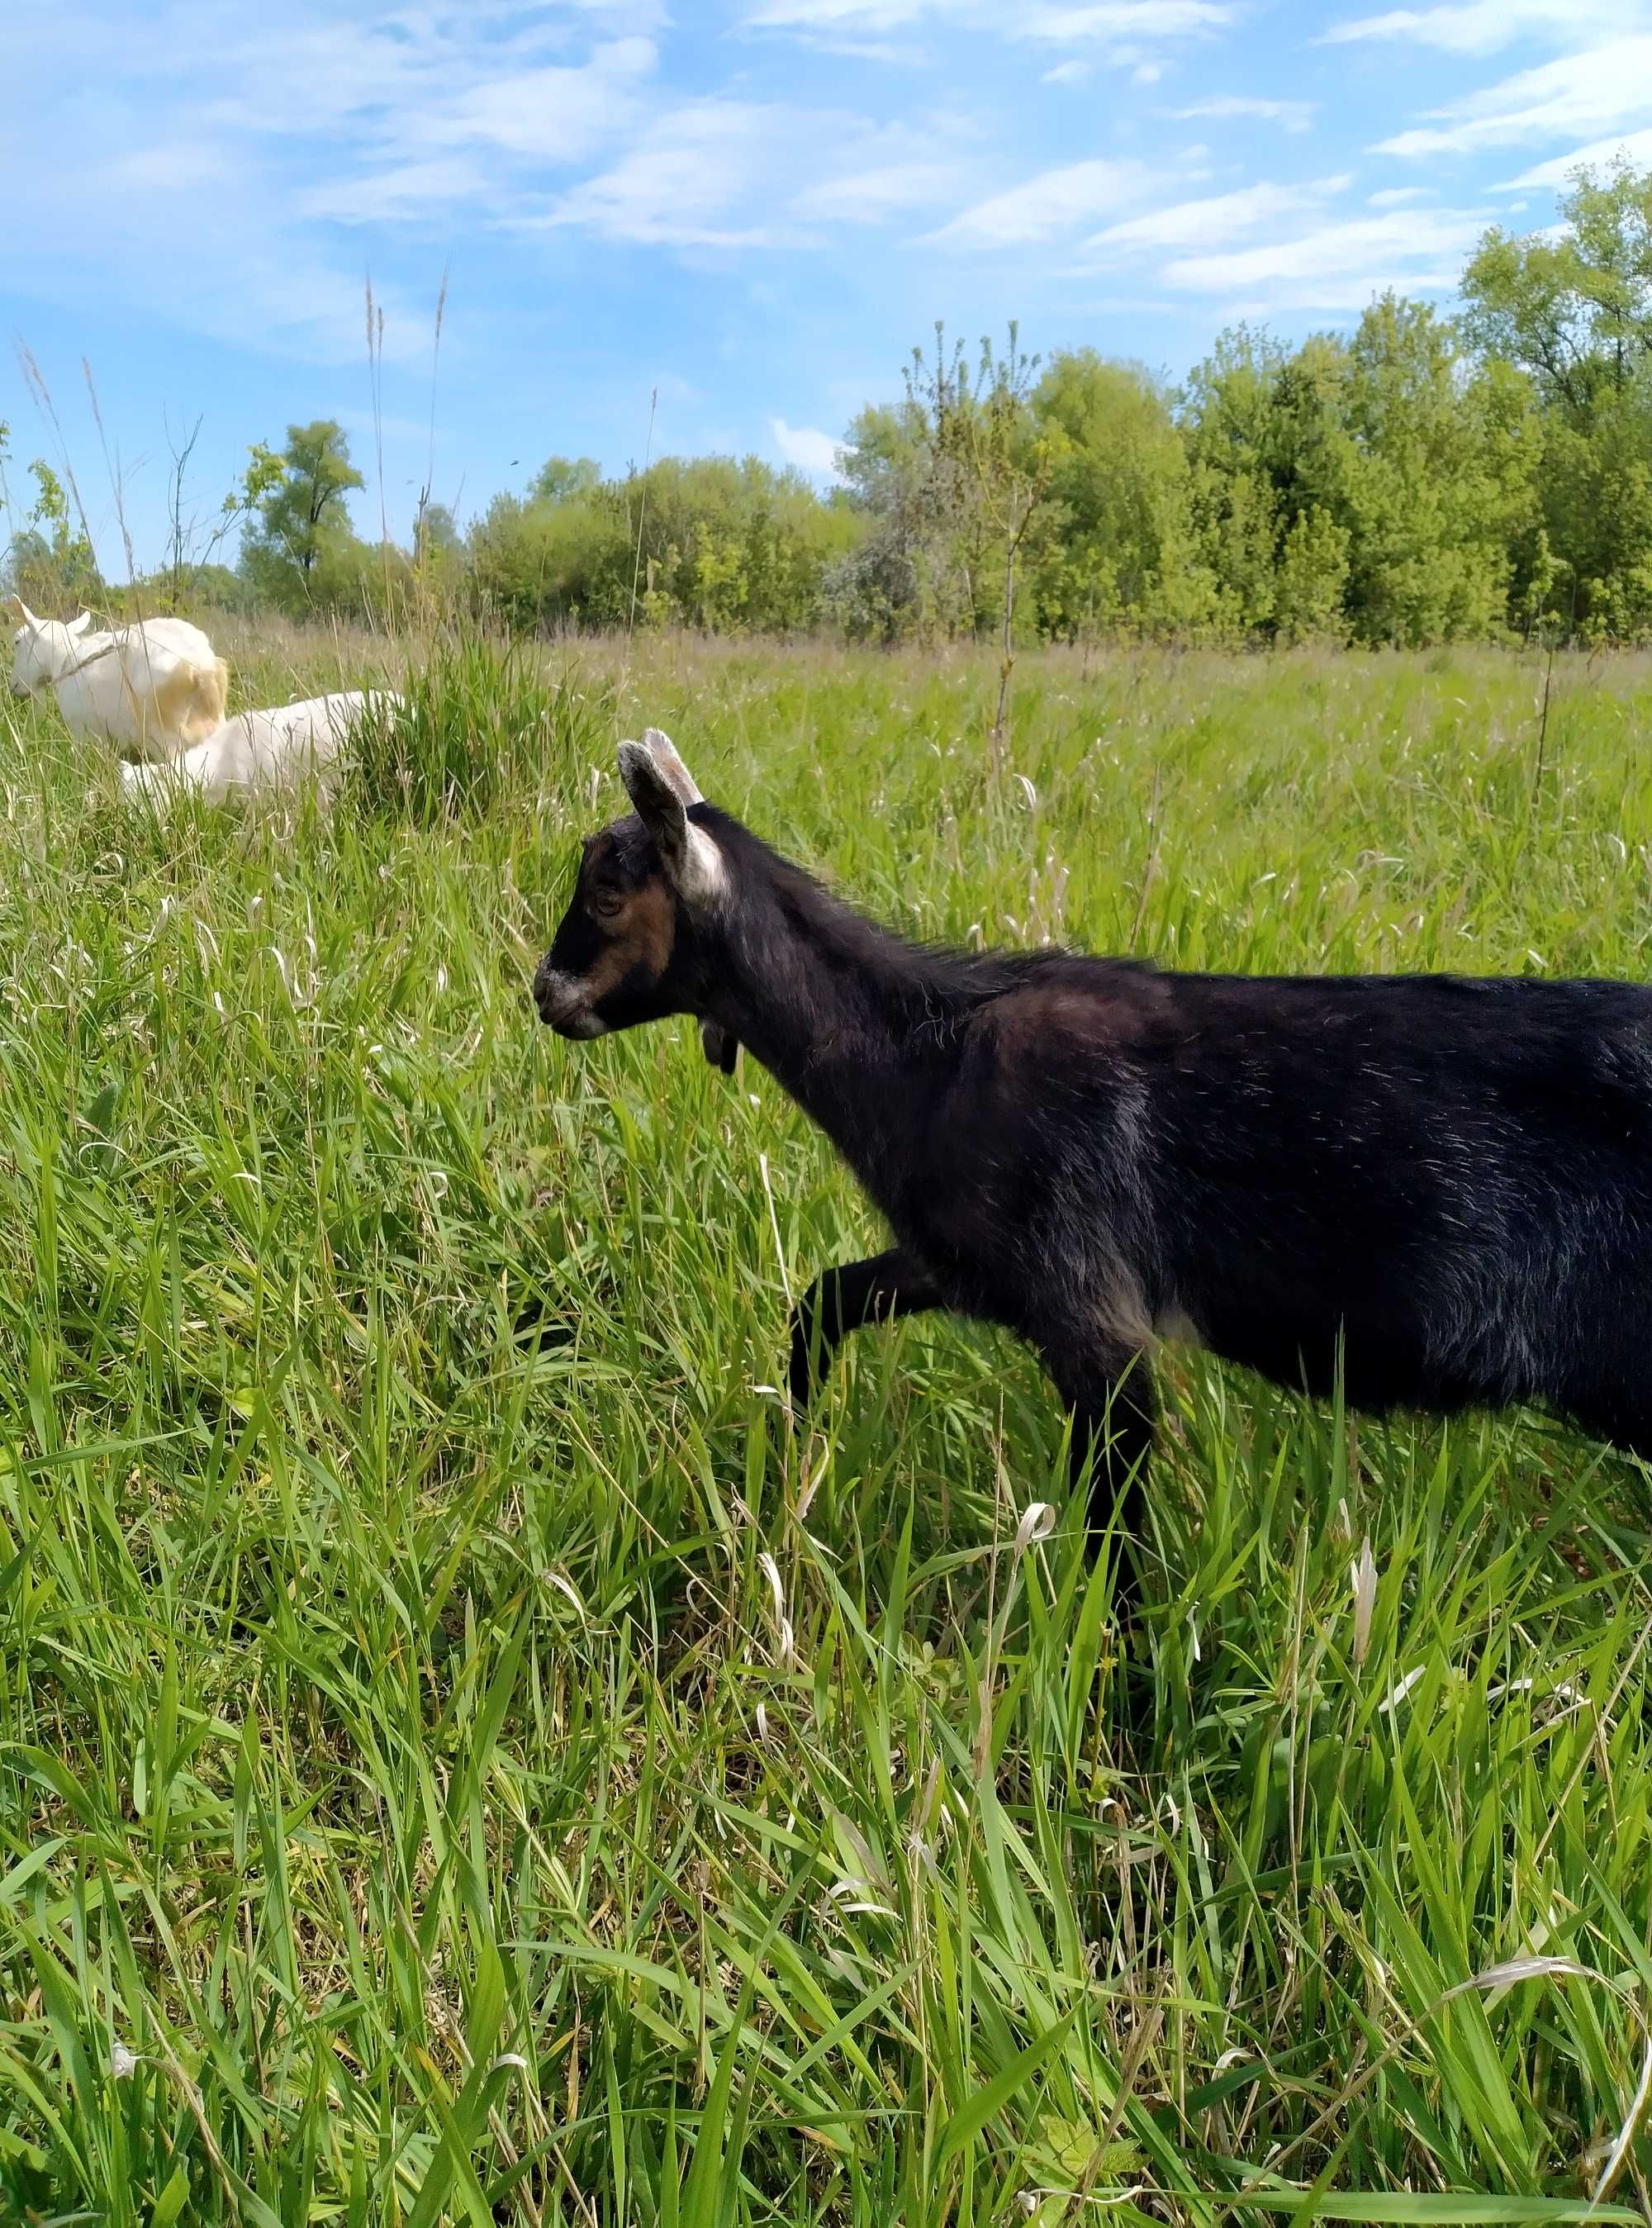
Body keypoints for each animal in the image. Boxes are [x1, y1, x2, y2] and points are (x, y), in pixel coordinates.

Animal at [7, 596, 229, 762]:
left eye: (17, 641)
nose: (14, 686)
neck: (65, 659)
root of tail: (201, 668)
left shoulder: (82, 732)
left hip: (166, 738)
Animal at [536, 739, 1652, 1595]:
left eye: (606, 892)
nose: (543, 992)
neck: (929, 1058)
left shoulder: (1092, 1319)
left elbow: (1113, 1544)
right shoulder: (960, 1265)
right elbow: (821, 1304)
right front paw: (789, 1455)